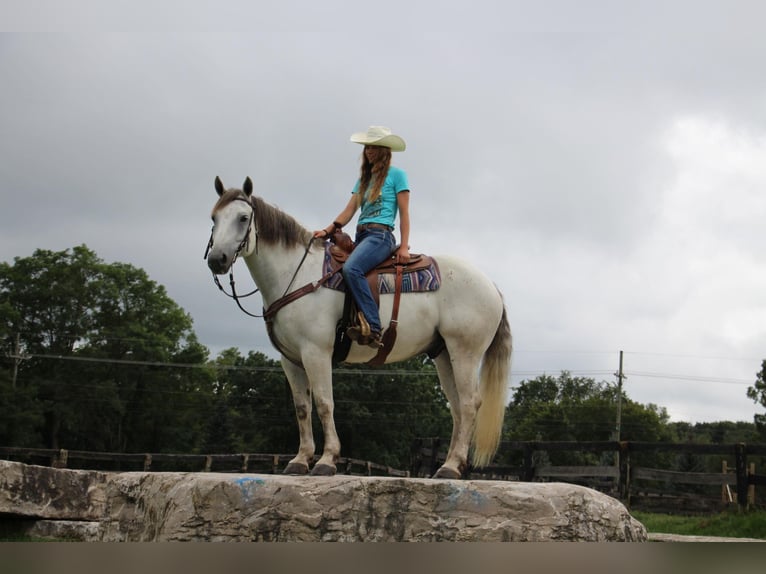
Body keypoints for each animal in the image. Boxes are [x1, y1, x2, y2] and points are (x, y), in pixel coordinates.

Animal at [207, 177, 512, 482]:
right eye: (214, 218)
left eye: (243, 218)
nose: (216, 260)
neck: (297, 275)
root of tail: (492, 286)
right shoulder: (290, 360)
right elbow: (302, 408)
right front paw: (299, 461)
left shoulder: (316, 352)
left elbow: (324, 403)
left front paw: (327, 460)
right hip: (444, 354)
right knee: (458, 406)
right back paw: (450, 466)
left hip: (465, 352)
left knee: (470, 403)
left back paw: (451, 466)